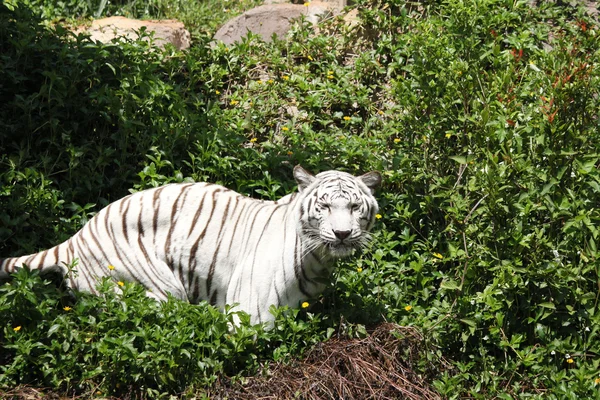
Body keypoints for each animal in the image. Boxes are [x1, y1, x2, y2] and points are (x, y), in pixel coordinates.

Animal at [1, 166, 380, 324]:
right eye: (325, 207)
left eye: (354, 207)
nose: (343, 234)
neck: (318, 259)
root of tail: (74, 239)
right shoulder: (251, 318)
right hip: (158, 287)